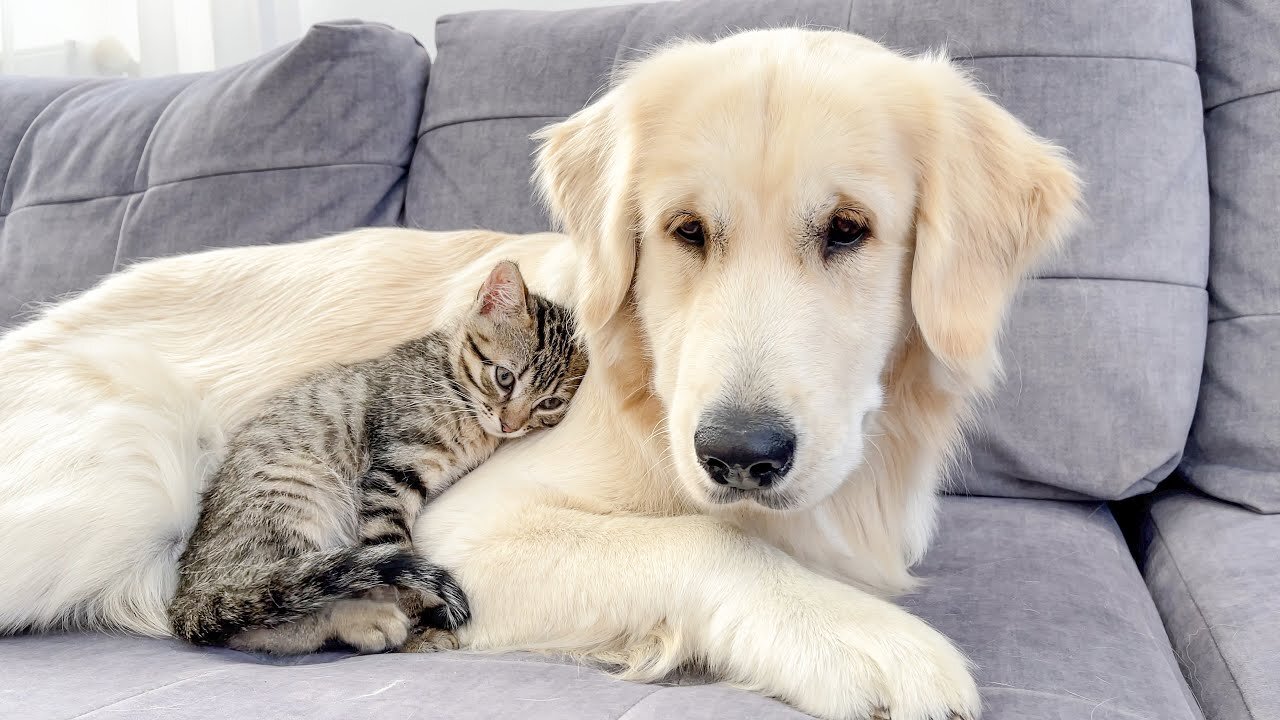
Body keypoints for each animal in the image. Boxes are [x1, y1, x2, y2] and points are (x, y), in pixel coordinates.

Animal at [167, 260, 586, 653]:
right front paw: (419, 620)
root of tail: (187, 593)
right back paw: (369, 621)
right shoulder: (391, 474)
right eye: (504, 377)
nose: (511, 425)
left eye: (550, 403)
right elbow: (396, 545)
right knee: (280, 604)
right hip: (297, 492)